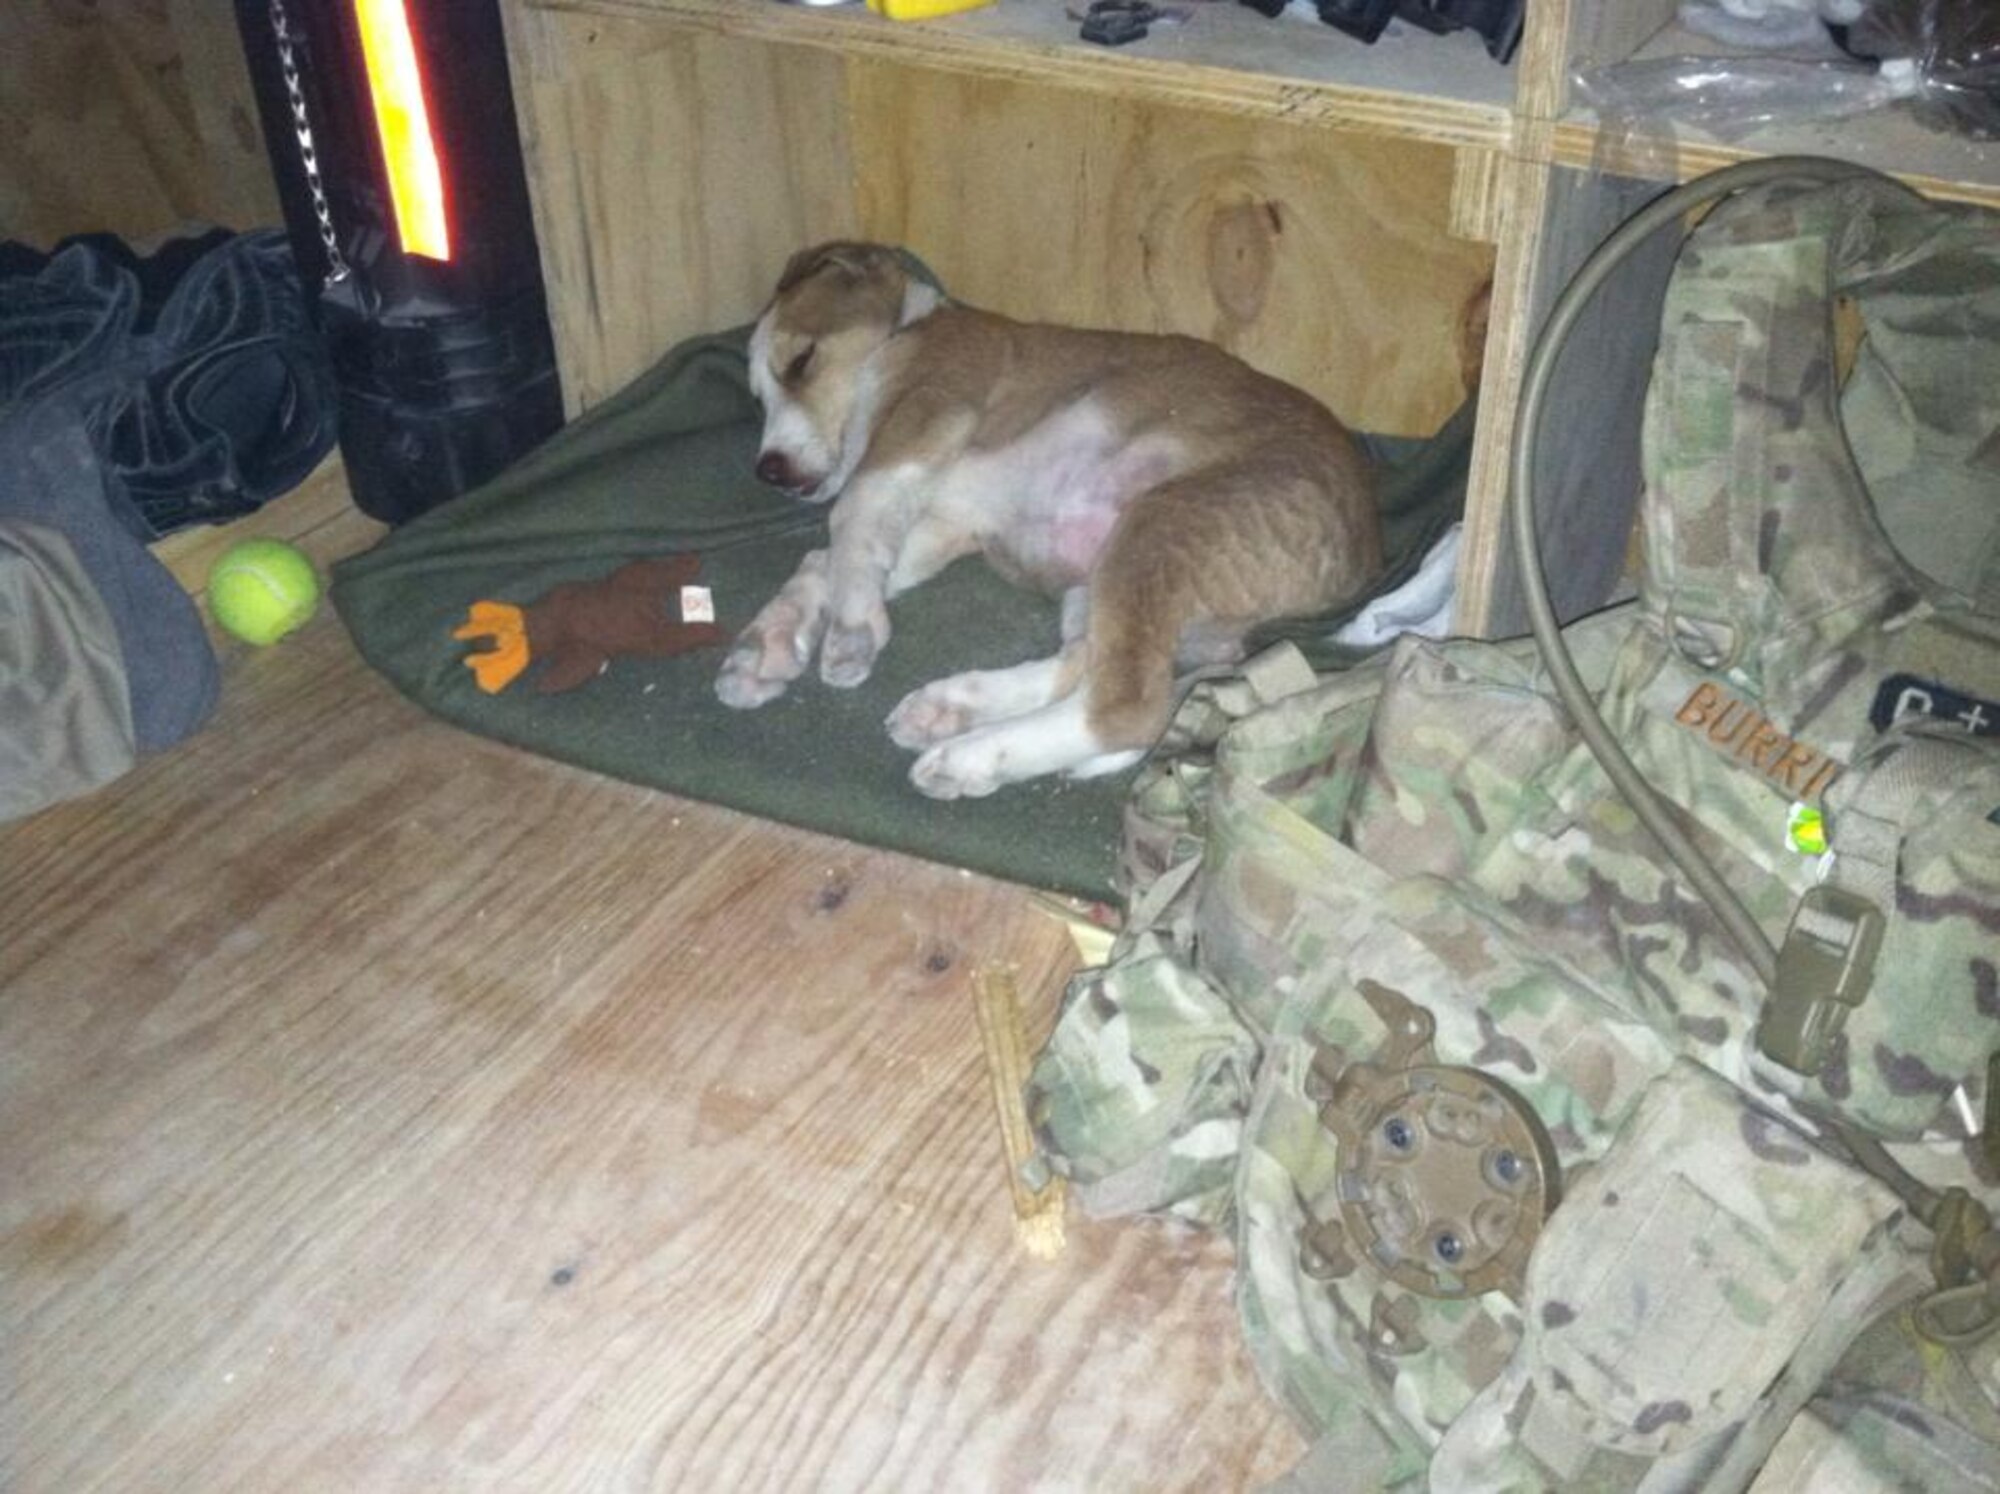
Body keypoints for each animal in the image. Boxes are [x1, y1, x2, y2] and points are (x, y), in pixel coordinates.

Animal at [720, 244, 1392, 800]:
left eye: (801, 361)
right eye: (755, 398)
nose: (767, 470)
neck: (904, 334)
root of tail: (1364, 561)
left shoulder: (925, 416)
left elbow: (849, 517)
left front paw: (850, 632)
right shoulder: (940, 521)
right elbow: (824, 559)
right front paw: (767, 645)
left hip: (1157, 528)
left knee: (1125, 707)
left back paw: (969, 756)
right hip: (1100, 583)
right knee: (1088, 667)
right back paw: (952, 708)